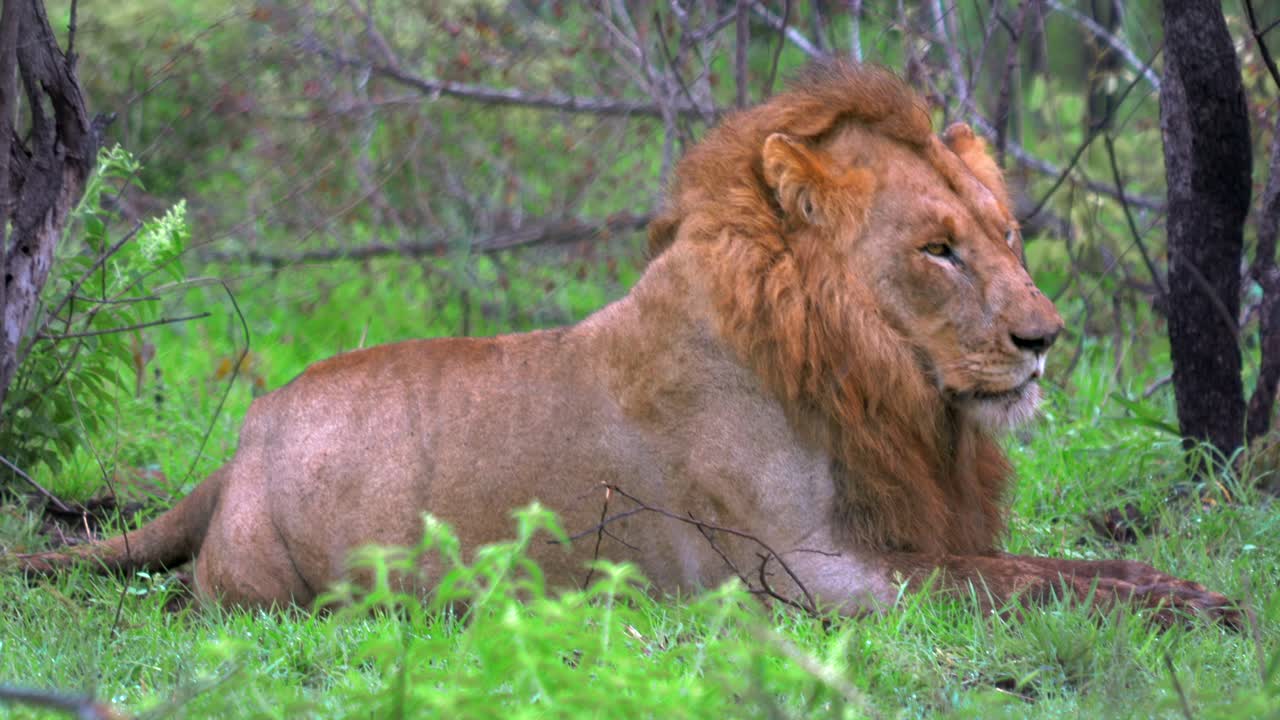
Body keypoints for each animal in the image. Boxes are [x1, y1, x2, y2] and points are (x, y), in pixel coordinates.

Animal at [18, 63, 1239, 624]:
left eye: (1005, 236)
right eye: (935, 249)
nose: (1044, 339)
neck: (873, 387)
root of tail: (241, 446)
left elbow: (1047, 565)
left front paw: (1180, 589)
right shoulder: (797, 577)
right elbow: (1005, 582)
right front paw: (1192, 604)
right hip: (271, 591)